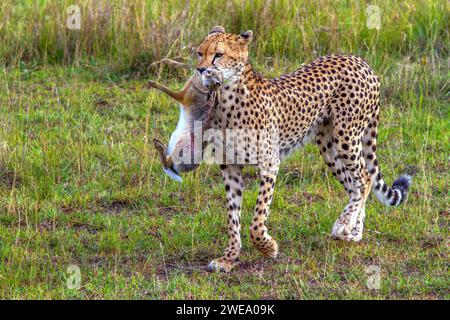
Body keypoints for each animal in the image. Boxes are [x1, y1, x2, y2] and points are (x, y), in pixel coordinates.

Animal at [166, 26, 412, 272]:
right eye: (199, 53)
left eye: (218, 54)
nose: (201, 69)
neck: (227, 99)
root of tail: (359, 60)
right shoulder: (230, 167)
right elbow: (232, 218)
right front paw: (229, 258)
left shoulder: (269, 163)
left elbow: (257, 218)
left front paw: (267, 247)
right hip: (328, 146)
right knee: (354, 185)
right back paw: (353, 232)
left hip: (346, 136)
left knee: (365, 178)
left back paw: (344, 224)